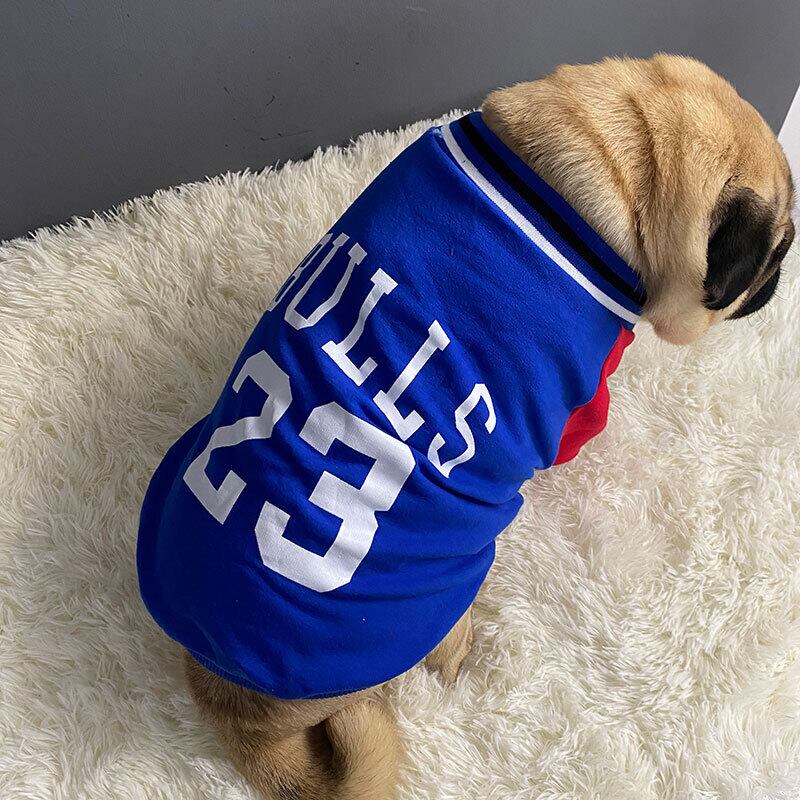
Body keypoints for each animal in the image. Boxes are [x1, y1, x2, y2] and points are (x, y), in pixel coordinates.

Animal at [137, 55, 794, 799]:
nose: (780, 276)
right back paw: (457, 651)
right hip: (457, 579)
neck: (602, 154)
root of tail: (235, 703)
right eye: (774, 253)